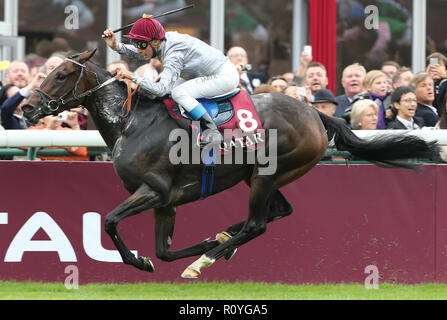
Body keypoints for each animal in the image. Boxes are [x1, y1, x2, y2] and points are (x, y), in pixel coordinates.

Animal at [22, 51, 440, 278]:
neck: (132, 122)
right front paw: (203, 242)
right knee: (279, 212)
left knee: (259, 223)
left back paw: (207, 258)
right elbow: (163, 251)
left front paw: (146, 261)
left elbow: (110, 222)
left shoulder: (154, 191)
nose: (26, 107)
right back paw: (222, 241)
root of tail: (315, 114)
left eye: (62, 74)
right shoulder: (167, 201)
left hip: (268, 174)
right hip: (263, 177)